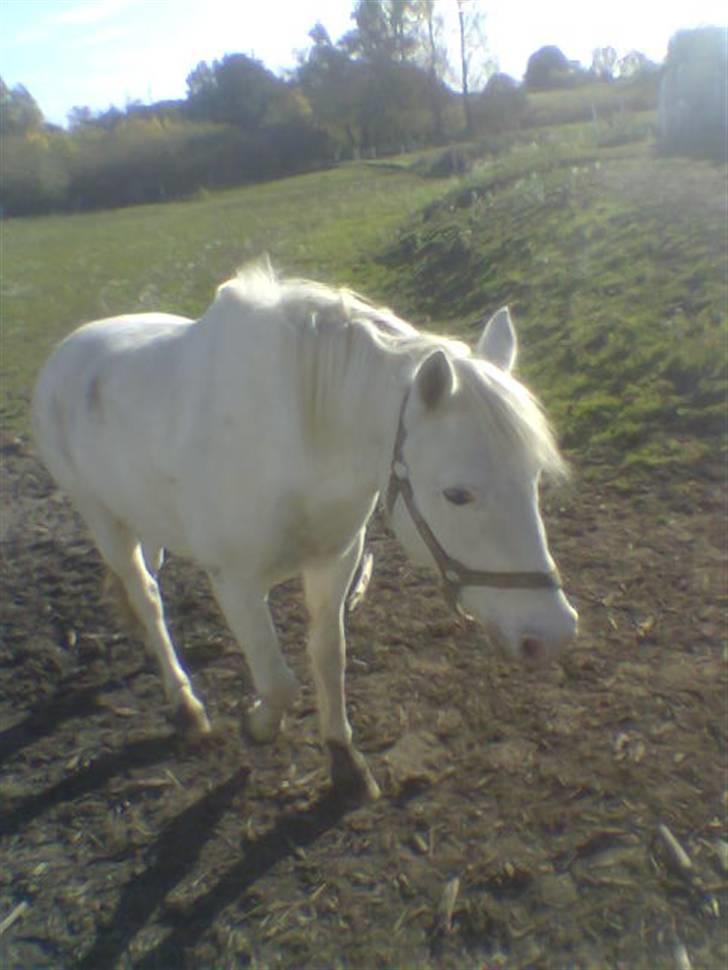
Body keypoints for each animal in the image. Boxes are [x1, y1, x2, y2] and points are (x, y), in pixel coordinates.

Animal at [32, 260, 580, 796]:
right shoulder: (236, 583)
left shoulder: (334, 562)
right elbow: (278, 681)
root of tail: (66, 352)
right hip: (101, 516)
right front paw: (259, 726)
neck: (297, 440)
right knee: (145, 595)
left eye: (533, 478)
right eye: (458, 494)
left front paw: (342, 756)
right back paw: (185, 705)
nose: (552, 634)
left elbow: (328, 657)